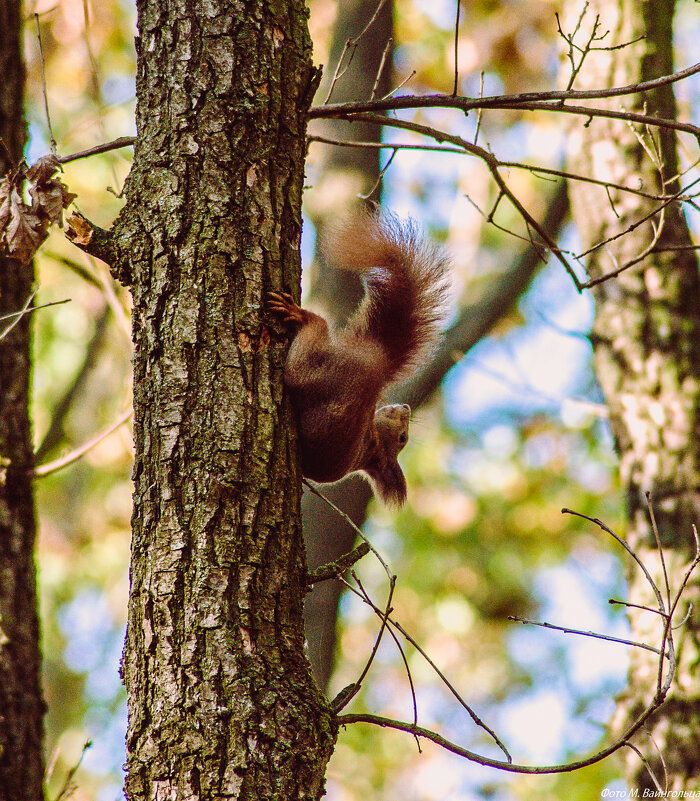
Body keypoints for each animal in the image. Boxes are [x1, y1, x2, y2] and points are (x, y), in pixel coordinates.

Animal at [268, 209, 448, 504]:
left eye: (403, 438)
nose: (405, 408)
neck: (372, 448)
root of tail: (378, 359)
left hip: (317, 373)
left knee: (314, 334)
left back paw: (301, 315)